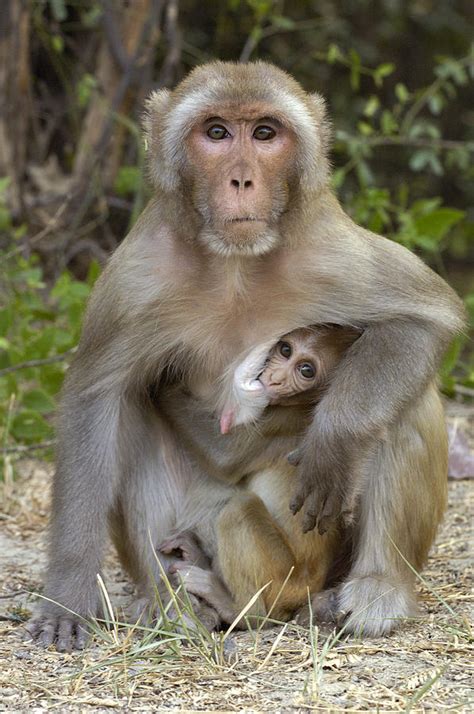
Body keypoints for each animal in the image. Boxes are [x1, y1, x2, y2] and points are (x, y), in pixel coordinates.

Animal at [159, 326, 360, 624]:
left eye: (306, 370)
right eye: (286, 350)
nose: (274, 379)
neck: (305, 403)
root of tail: (309, 589)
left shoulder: (280, 421)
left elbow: (223, 458)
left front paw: (165, 382)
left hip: (284, 581)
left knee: (238, 510)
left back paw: (237, 608)